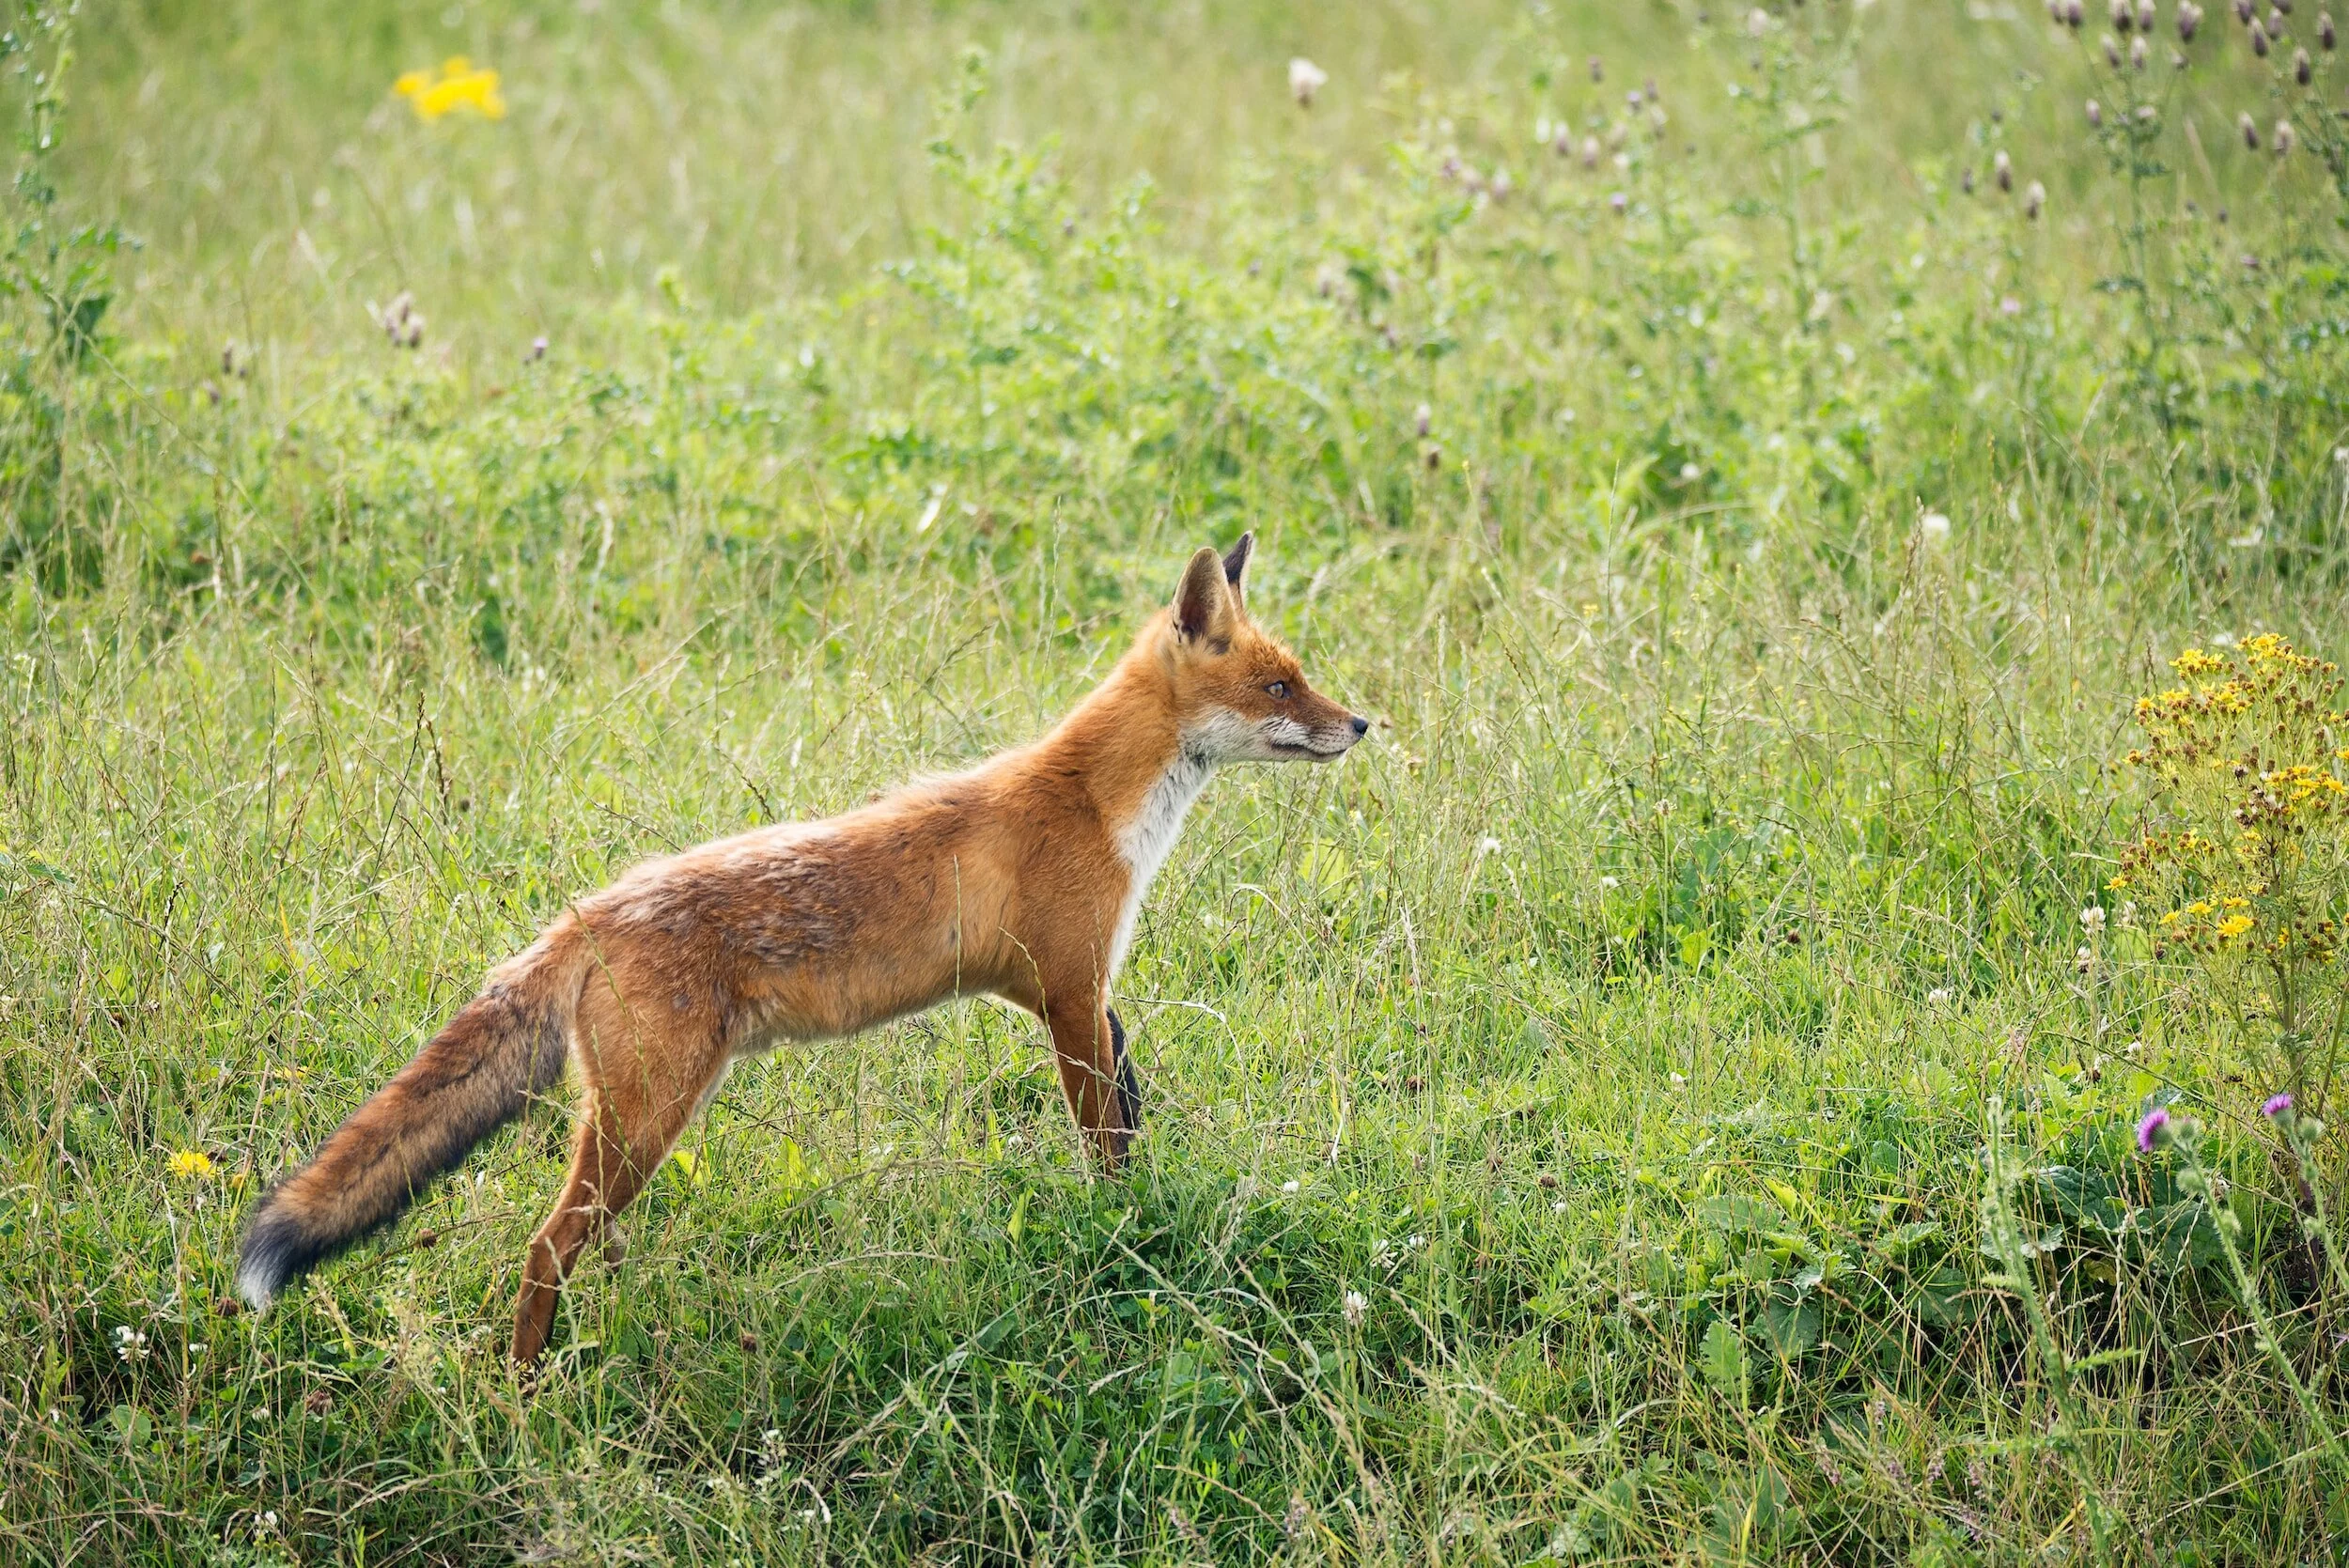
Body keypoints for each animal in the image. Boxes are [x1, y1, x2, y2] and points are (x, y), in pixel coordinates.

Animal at [236, 534, 1368, 1364]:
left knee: (585, 1243)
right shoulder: (1067, 989)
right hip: (647, 1116)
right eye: (1278, 689)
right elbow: (1106, 1143)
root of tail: (586, 912)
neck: (1098, 804)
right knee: (544, 1246)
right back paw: (524, 1392)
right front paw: (1123, 1233)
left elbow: (1131, 1108)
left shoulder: (1084, 993)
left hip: (629, 1130)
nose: (1361, 723)